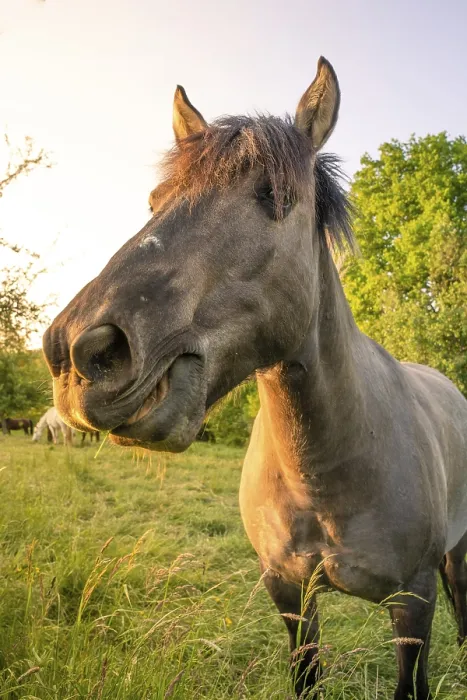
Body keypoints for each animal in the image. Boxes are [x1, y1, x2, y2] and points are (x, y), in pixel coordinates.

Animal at [42, 58, 467, 700]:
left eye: (272, 197)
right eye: (154, 201)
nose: (77, 353)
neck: (331, 466)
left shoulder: (412, 604)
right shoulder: (290, 593)